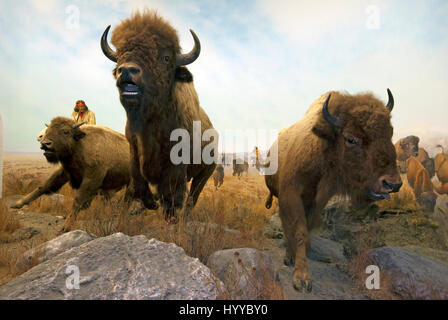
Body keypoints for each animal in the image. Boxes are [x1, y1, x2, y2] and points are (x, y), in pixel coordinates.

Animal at [100, 10, 216, 220]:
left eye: (166, 58)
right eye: (120, 53)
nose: (126, 70)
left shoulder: (176, 165)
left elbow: (171, 193)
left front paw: (167, 214)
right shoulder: (134, 152)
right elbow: (138, 184)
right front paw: (150, 203)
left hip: (205, 173)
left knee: (192, 198)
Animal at [264, 89, 400, 292]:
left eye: (390, 133)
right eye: (351, 139)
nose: (392, 184)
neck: (321, 148)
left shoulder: (319, 200)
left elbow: (305, 228)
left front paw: (296, 260)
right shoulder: (291, 195)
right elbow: (298, 230)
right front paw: (301, 278)